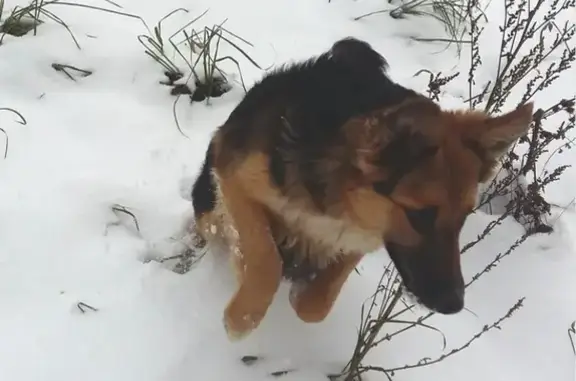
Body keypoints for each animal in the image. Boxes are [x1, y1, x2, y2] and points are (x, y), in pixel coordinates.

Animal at [190, 37, 536, 340]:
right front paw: (242, 315)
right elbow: (264, 256)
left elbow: (316, 305)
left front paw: (301, 292)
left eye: (464, 216)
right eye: (420, 215)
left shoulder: (362, 234)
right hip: (207, 205)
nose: (454, 305)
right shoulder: (234, 179)